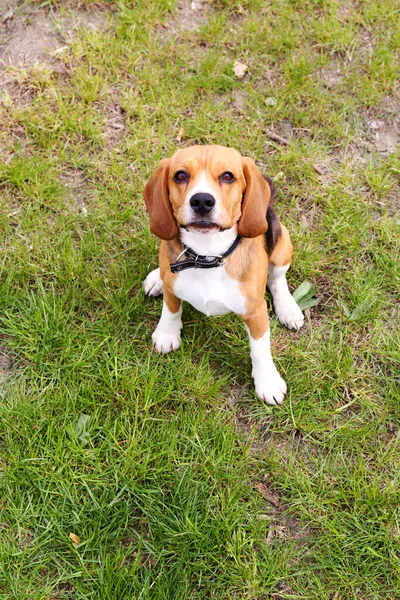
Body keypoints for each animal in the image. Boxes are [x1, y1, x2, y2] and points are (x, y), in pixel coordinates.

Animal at [144, 145, 304, 406]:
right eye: (180, 175)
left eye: (228, 176)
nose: (201, 201)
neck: (207, 256)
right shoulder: (173, 287)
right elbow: (171, 307)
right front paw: (167, 332)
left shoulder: (256, 312)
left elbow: (260, 348)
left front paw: (267, 381)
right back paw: (156, 278)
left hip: (282, 245)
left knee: (277, 278)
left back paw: (288, 308)